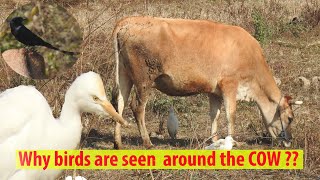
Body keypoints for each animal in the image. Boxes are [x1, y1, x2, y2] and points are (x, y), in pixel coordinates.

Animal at [112, 16, 300, 149]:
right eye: (290, 118)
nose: (289, 141)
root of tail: (128, 21)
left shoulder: (214, 91)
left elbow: (214, 115)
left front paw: (214, 139)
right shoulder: (229, 85)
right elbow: (230, 115)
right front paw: (234, 142)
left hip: (124, 75)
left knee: (119, 104)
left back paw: (118, 143)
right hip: (144, 79)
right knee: (137, 107)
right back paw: (147, 142)